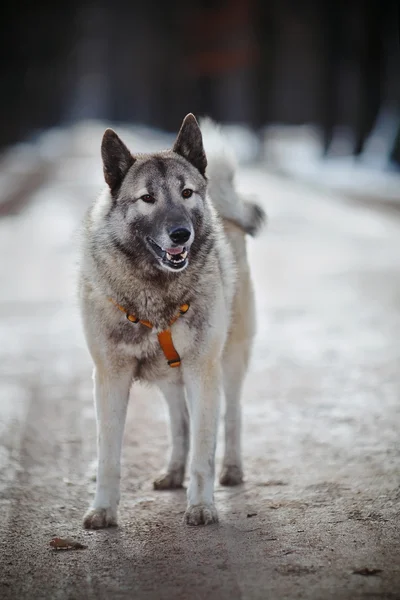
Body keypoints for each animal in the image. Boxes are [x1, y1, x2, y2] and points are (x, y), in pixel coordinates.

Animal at [79, 115, 266, 528]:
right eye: (147, 198)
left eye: (187, 193)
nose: (181, 233)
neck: (155, 291)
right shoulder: (110, 377)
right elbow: (107, 455)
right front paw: (103, 510)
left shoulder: (202, 369)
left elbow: (204, 449)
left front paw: (202, 506)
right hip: (170, 376)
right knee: (180, 423)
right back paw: (173, 472)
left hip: (228, 361)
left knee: (231, 416)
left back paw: (231, 468)